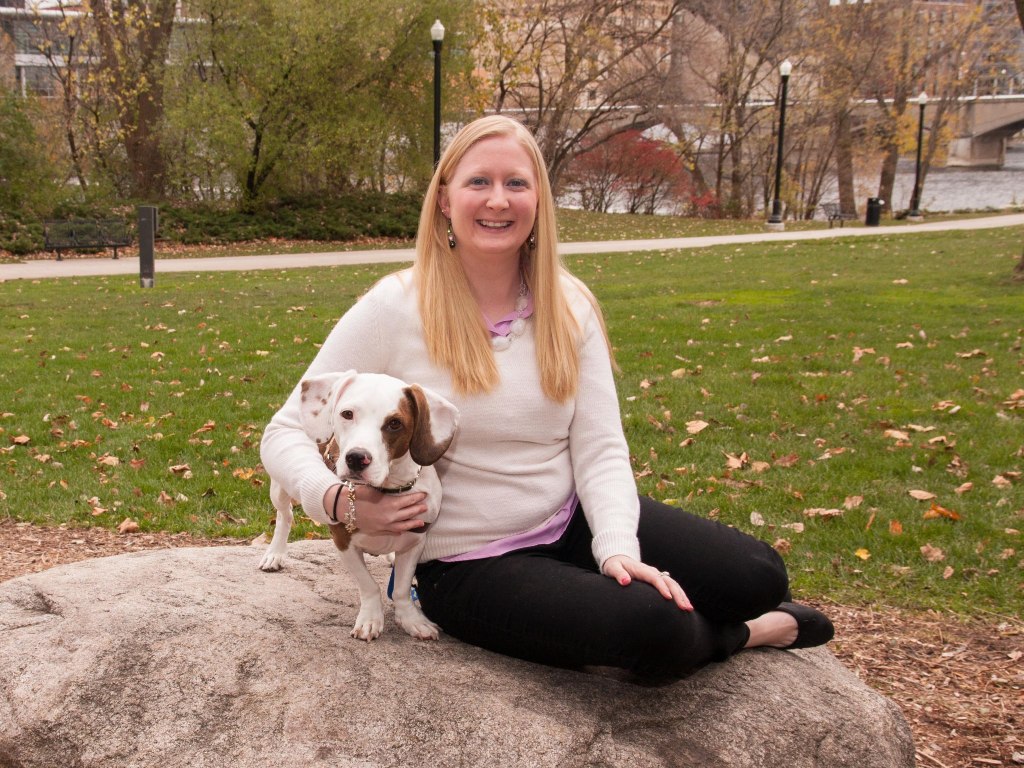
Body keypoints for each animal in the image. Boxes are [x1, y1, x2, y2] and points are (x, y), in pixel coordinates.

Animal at [260, 370, 458, 642]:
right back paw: (275, 553)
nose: (356, 458)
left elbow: (401, 588)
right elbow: (369, 585)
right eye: (347, 414)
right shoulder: (343, 541)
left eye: (395, 423)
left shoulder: (415, 541)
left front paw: (411, 619)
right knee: (284, 515)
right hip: (280, 485)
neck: (386, 490)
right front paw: (371, 619)